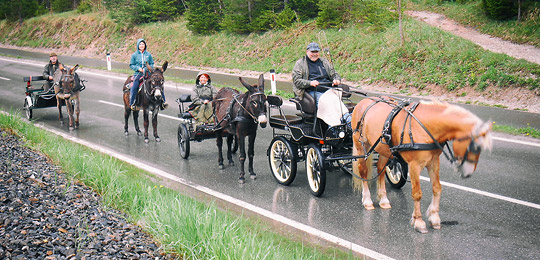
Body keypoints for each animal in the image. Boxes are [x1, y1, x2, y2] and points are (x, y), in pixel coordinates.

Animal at [350, 97, 494, 234]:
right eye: (476, 147)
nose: (468, 172)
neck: (425, 127)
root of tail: (362, 102)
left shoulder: (434, 162)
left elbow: (437, 188)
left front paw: (434, 217)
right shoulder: (414, 165)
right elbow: (417, 193)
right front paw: (419, 222)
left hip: (384, 150)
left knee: (380, 169)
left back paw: (383, 199)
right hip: (362, 146)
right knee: (363, 171)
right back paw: (367, 200)